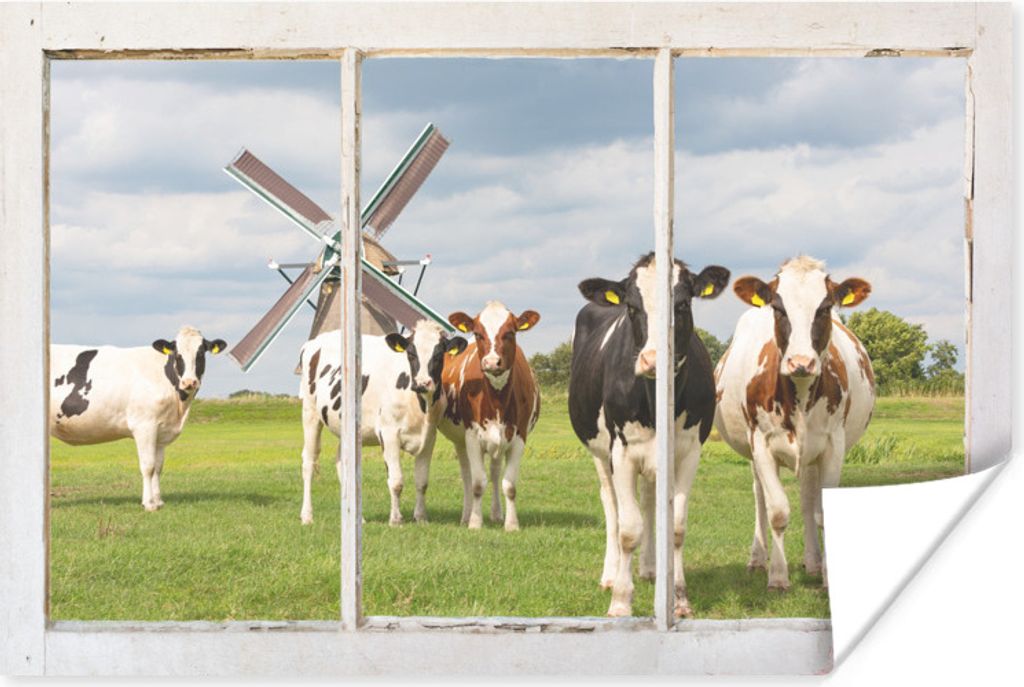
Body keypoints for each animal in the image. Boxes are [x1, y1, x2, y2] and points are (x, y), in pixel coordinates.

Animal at [49, 326, 228, 511]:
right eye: (177, 354)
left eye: (200, 353)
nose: (189, 382)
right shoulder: (145, 426)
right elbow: (148, 466)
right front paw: (149, 503)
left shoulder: (161, 431)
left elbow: (158, 467)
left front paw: (158, 501)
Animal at [298, 322, 467, 526]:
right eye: (411, 354)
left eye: (439, 354)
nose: (422, 383)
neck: (420, 404)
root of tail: (313, 342)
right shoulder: (389, 433)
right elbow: (396, 481)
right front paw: (395, 519)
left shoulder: (429, 436)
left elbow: (422, 481)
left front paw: (420, 517)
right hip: (310, 413)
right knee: (309, 462)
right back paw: (307, 516)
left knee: (342, 463)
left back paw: (358, 518)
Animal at [441, 301, 541, 531]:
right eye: (478, 333)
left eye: (510, 332)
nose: (492, 362)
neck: (497, 401)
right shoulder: (472, 437)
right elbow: (478, 483)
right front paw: (475, 522)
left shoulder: (519, 438)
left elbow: (509, 485)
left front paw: (511, 524)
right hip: (460, 441)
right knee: (467, 475)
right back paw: (466, 515)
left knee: (495, 473)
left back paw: (496, 514)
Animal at [568, 253, 731, 618]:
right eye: (631, 307)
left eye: (682, 304)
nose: (654, 360)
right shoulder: (622, 452)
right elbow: (628, 528)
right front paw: (620, 601)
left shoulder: (689, 452)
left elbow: (676, 526)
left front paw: (679, 598)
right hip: (599, 452)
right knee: (611, 505)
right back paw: (611, 574)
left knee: (648, 499)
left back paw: (650, 569)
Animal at [714, 255, 875, 590]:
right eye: (778, 308)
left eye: (825, 308)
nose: (801, 362)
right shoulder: (761, 444)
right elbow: (777, 511)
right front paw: (777, 576)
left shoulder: (833, 445)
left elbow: (821, 511)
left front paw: (827, 576)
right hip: (752, 453)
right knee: (760, 497)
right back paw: (757, 559)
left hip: (812, 452)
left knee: (807, 497)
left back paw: (812, 562)